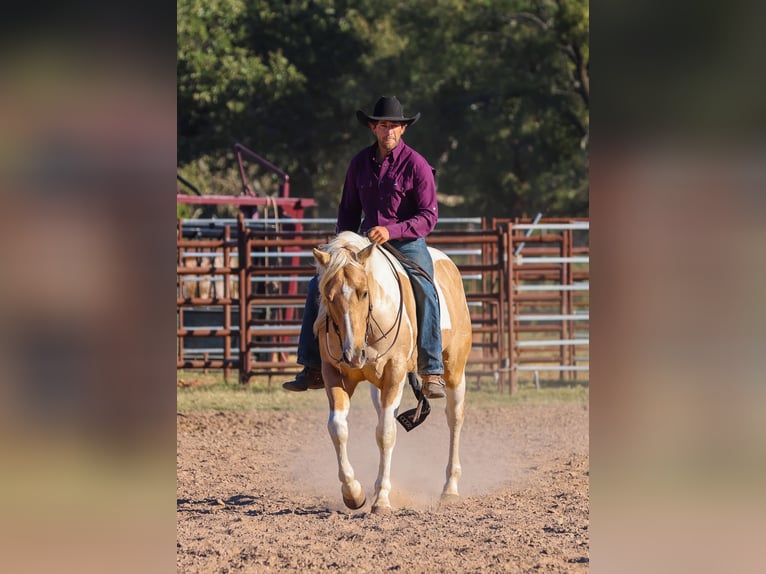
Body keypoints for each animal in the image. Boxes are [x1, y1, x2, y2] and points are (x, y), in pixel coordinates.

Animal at [312, 231, 472, 513]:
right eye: (327, 297)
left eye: (364, 292)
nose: (353, 354)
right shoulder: (334, 373)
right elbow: (338, 428)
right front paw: (354, 494)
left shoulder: (395, 372)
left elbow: (385, 433)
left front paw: (382, 500)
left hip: (455, 369)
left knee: (454, 418)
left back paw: (450, 488)